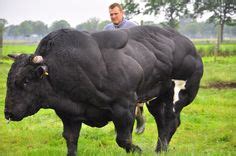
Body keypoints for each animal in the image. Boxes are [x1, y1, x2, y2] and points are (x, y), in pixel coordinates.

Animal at [4, 25, 203, 155]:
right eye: (9, 80)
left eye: (26, 80)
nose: (8, 113)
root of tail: (188, 44)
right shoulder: (69, 114)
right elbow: (70, 139)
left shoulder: (124, 105)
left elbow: (123, 139)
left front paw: (138, 149)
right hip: (156, 98)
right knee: (162, 121)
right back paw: (160, 149)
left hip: (178, 93)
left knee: (170, 121)